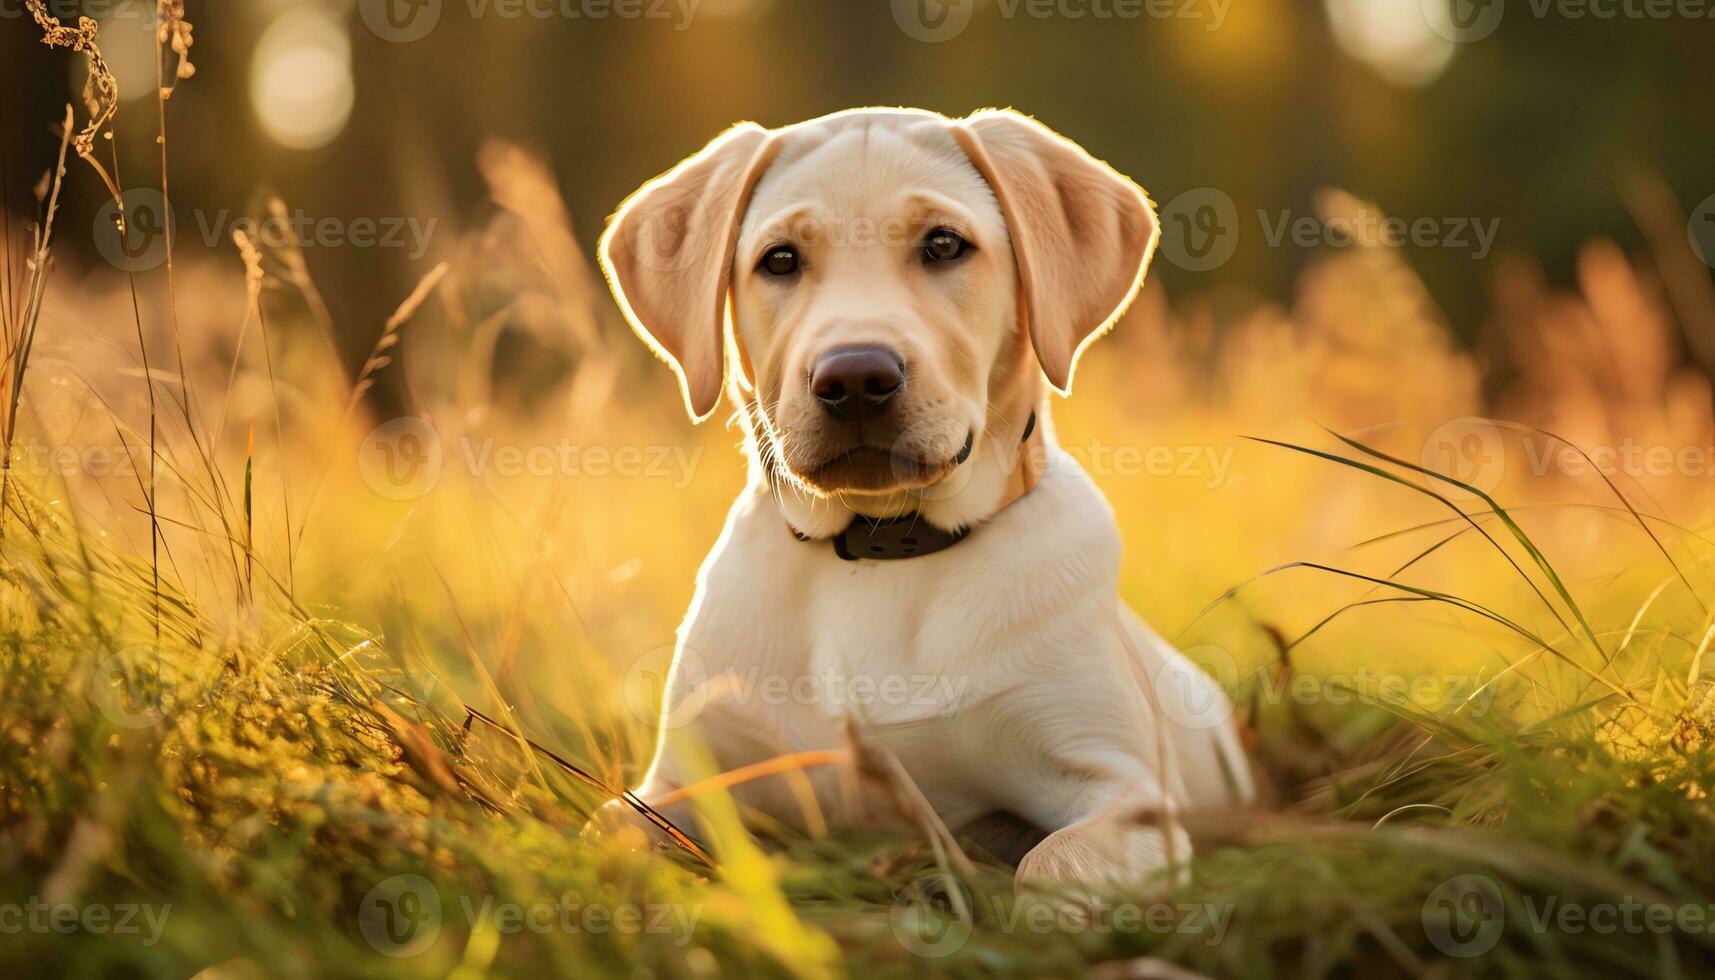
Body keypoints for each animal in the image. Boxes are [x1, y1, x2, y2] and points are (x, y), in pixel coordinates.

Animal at [596, 109, 1255, 899]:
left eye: (943, 245)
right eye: (779, 261)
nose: (854, 378)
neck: (882, 549)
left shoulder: (1122, 788)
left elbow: (1050, 860)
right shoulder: (678, 787)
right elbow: (609, 833)